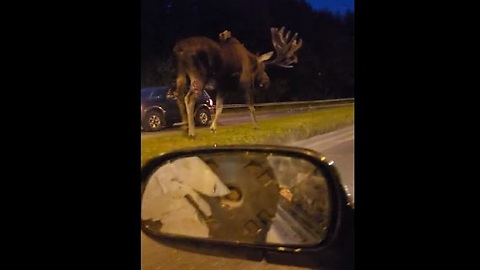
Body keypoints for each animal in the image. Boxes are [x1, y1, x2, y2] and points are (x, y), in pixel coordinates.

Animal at [171, 26, 302, 138]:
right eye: (263, 67)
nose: (266, 81)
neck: (251, 62)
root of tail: (179, 48)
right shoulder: (245, 84)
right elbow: (251, 106)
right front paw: (256, 125)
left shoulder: (222, 87)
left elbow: (219, 107)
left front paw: (213, 128)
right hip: (199, 75)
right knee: (189, 98)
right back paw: (192, 132)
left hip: (181, 73)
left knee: (179, 95)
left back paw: (184, 128)